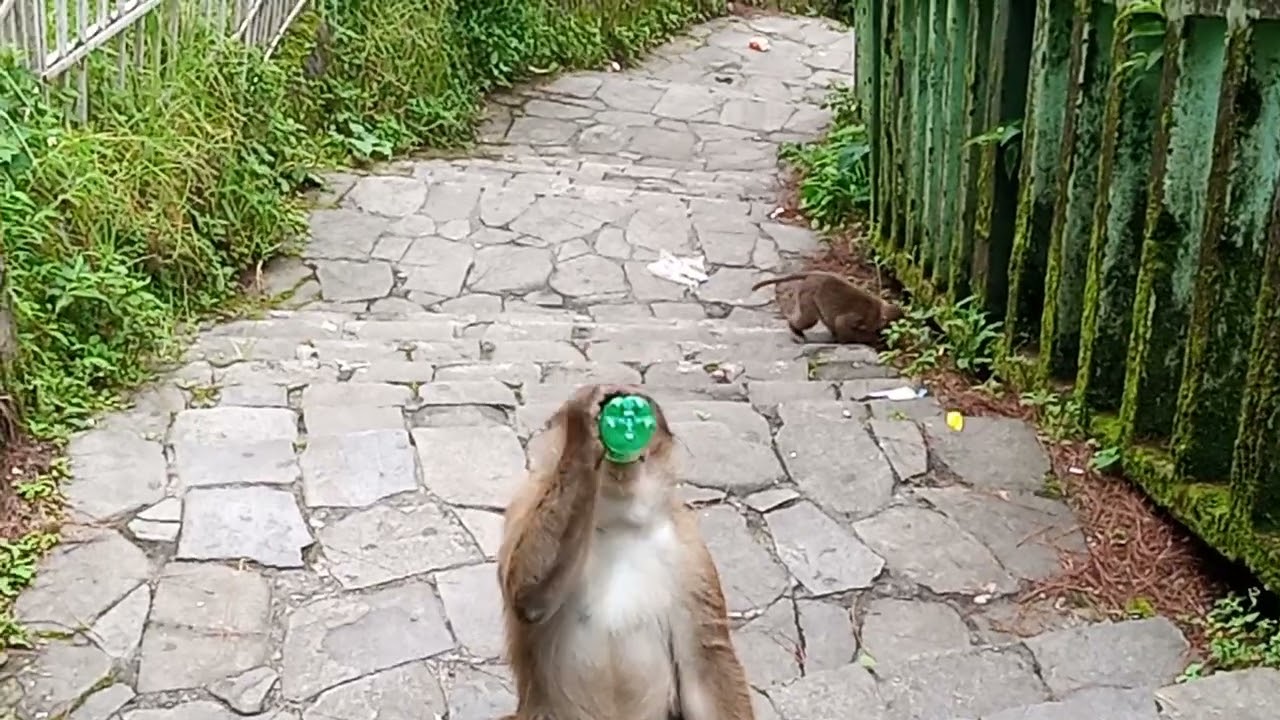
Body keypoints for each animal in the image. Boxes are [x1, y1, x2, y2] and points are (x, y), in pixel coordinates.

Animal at [497, 383, 755, 720]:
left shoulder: (689, 550)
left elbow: (703, 664)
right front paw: (583, 430)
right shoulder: (525, 501)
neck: (615, 518)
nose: (624, 417)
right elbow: (527, 597)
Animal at [750, 270, 904, 345]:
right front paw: (859, 340)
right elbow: (842, 322)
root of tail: (815, 274)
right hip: (808, 295)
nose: (885, 333)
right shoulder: (864, 317)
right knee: (809, 319)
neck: (879, 311)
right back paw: (795, 328)